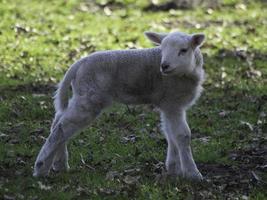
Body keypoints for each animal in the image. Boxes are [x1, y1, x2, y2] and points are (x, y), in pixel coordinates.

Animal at [32, 30, 206, 180]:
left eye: (183, 50)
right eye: (161, 49)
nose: (164, 66)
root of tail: (78, 64)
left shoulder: (168, 104)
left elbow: (170, 135)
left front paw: (173, 169)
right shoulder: (173, 102)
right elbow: (182, 135)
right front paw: (193, 174)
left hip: (82, 94)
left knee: (58, 121)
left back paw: (59, 164)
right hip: (90, 97)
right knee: (62, 128)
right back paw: (41, 168)